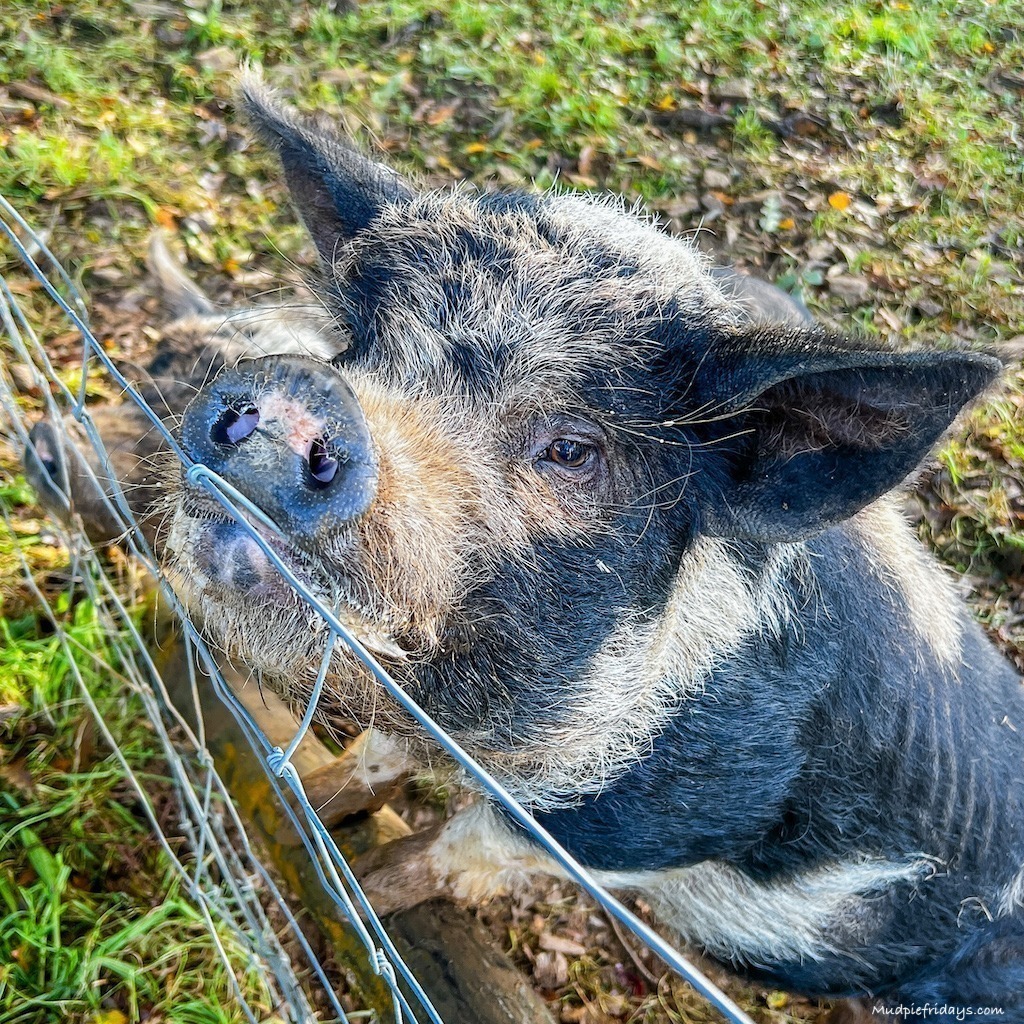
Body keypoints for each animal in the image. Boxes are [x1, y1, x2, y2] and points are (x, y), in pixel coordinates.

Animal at [26, 77, 1024, 1015]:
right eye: (354, 345)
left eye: (574, 449)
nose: (298, 391)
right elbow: (375, 761)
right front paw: (300, 808)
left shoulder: (683, 812)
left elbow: (459, 847)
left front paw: (346, 893)